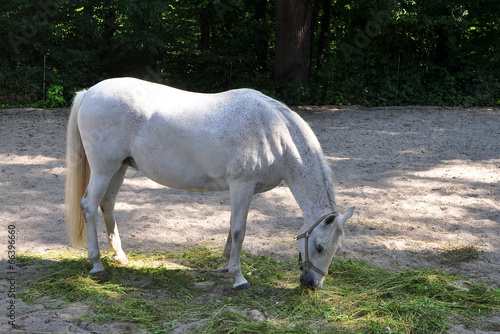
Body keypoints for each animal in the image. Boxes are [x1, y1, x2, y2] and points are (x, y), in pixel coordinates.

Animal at [65, 77, 356, 290]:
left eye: (336, 249)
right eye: (319, 247)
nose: (312, 284)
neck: (274, 132)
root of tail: (88, 93)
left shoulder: (243, 191)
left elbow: (231, 227)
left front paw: (227, 265)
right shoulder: (241, 186)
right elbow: (239, 231)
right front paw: (239, 278)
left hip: (119, 167)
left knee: (107, 205)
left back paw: (120, 256)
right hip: (104, 168)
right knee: (89, 205)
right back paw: (97, 264)